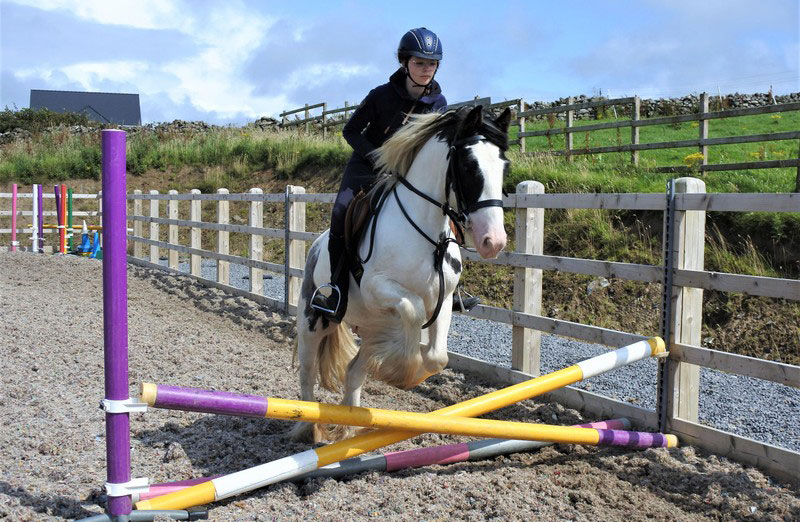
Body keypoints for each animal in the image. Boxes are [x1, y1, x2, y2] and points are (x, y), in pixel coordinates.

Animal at [290, 104, 510, 438]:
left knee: (353, 371)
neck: (426, 233)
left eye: (504, 167)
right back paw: (307, 428)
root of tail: (315, 245)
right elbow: (412, 309)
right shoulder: (378, 287)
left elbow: (436, 356)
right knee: (307, 372)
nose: (493, 241)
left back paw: (349, 429)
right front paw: (401, 371)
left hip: (368, 326)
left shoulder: (443, 300)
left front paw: (408, 370)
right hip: (313, 320)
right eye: (469, 167)